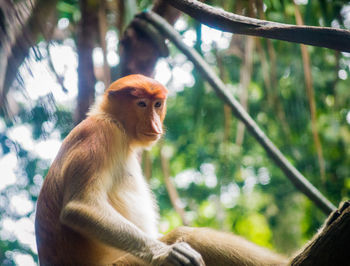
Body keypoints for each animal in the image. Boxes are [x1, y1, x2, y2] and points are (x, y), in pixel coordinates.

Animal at [35, 74, 288, 266]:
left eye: (157, 104)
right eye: (141, 104)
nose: (155, 124)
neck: (113, 120)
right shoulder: (100, 135)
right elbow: (80, 207)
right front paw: (166, 254)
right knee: (187, 235)